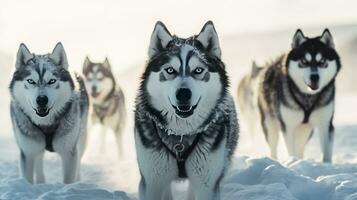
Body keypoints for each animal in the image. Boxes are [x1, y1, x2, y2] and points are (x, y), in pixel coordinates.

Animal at [9, 43, 88, 184]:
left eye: (52, 81)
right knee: (39, 162)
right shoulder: (27, 153)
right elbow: (28, 179)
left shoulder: (69, 152)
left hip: (81, 139)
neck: (45, 124)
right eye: (31, 81)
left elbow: (69, 180)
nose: (41, 99)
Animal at [134, 21, 239, 199]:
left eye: (198, 70)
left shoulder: (207, 184)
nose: (183, 93)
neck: (180, 135)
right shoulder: (152, 182)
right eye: (170, 70)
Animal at [238, 29, 340, 162]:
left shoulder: (326, 123)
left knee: (300, 146)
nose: (314, 77)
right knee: (273, 146)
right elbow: (291, 150)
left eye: (322, 61)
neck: (308, 97)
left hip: (305, 130)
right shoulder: (288, 126)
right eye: (304, 61)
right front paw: (293, 162)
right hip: (269, 124)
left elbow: (326, 153)